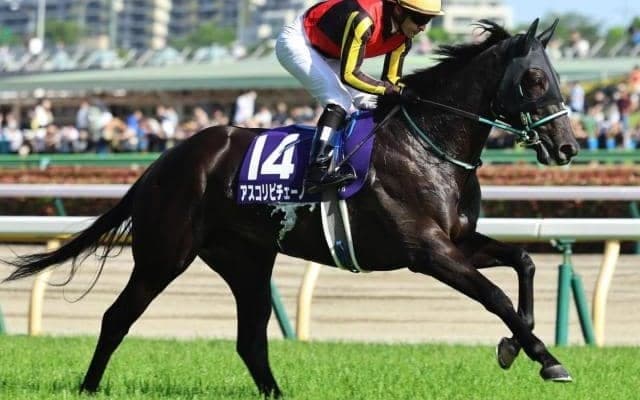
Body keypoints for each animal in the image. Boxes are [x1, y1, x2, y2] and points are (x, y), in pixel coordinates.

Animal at [3, 19, 578, 398]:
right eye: (534, 80)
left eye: (555, 77)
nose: (568, 147)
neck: (428, 144)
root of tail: (163, 161)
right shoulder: (427, 251)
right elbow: (497, 296)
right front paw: (547, 359)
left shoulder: (457, 241)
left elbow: (524, 263)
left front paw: (518, 345)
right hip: (165, 254)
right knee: (117, 317)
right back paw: (89, 386)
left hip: (247, 260)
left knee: (250, 338)